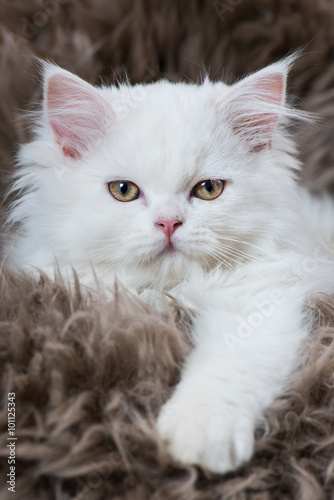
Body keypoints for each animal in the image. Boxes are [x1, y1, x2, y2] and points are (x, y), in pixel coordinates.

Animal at [4, 56, 334, 470]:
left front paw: (200, 436)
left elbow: (227, 367)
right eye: (123, 191)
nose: (169, 223)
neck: (170, 290)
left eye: (208, 189)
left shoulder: (258, 301)